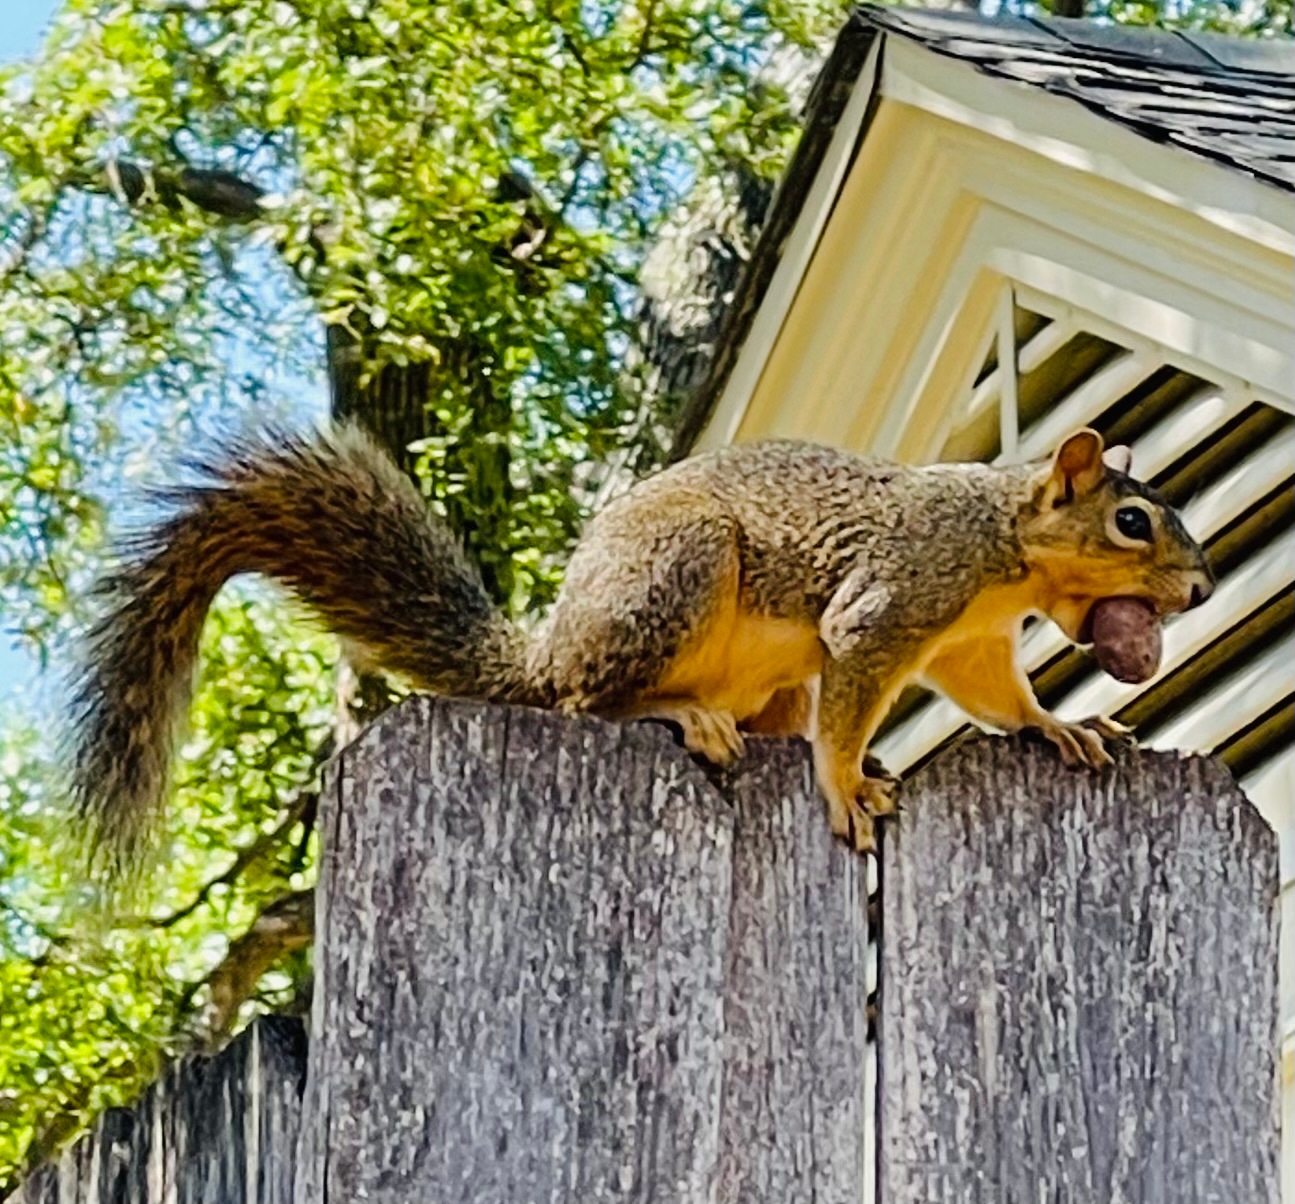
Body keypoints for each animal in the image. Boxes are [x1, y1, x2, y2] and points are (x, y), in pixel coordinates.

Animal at [69, 423, 1213, 868]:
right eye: (1131, 523)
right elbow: (850, 705)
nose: (1199, 587)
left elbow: (996, 698)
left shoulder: (966, 643)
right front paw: (845, 787)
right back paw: (679, 713)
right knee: (588, 702)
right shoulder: (889, 602)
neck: (1003, 548)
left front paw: (1060, 727)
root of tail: (546, 651)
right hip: (679, 571)